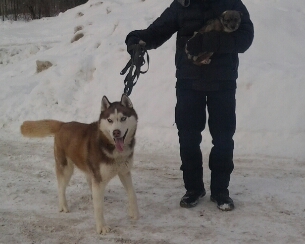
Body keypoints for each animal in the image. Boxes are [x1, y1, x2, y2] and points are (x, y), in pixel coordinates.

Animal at [20, 94, 140, 234]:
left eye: (123, 118)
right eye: (110, 120)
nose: (116, 132)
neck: (113, 148)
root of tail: (63, 124)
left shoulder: (124, 172)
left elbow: (132, 194)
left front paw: (135, 213)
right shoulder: (99, 179)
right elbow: (99, 208)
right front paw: (101, 227)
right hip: (66, 168)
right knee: (61, 187)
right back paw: (63, 205)